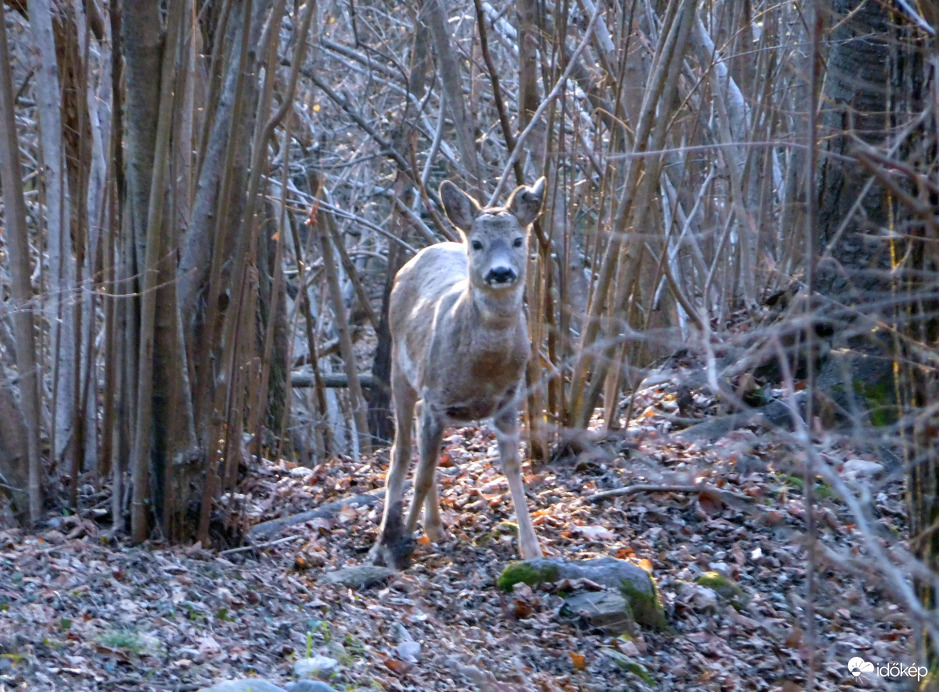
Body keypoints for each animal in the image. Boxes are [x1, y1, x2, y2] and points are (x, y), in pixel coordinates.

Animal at [372, 177, 552, 568]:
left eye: (518, 240)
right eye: (478, 243)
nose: (501, 272)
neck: (482, 367)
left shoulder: (509, 398)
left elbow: (513, 466)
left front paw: (531, 549)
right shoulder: (437, 397)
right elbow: (423, 475)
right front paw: (398, 547)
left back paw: (435, 528)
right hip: (400, 369)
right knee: (402, 450)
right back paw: (388, 537)